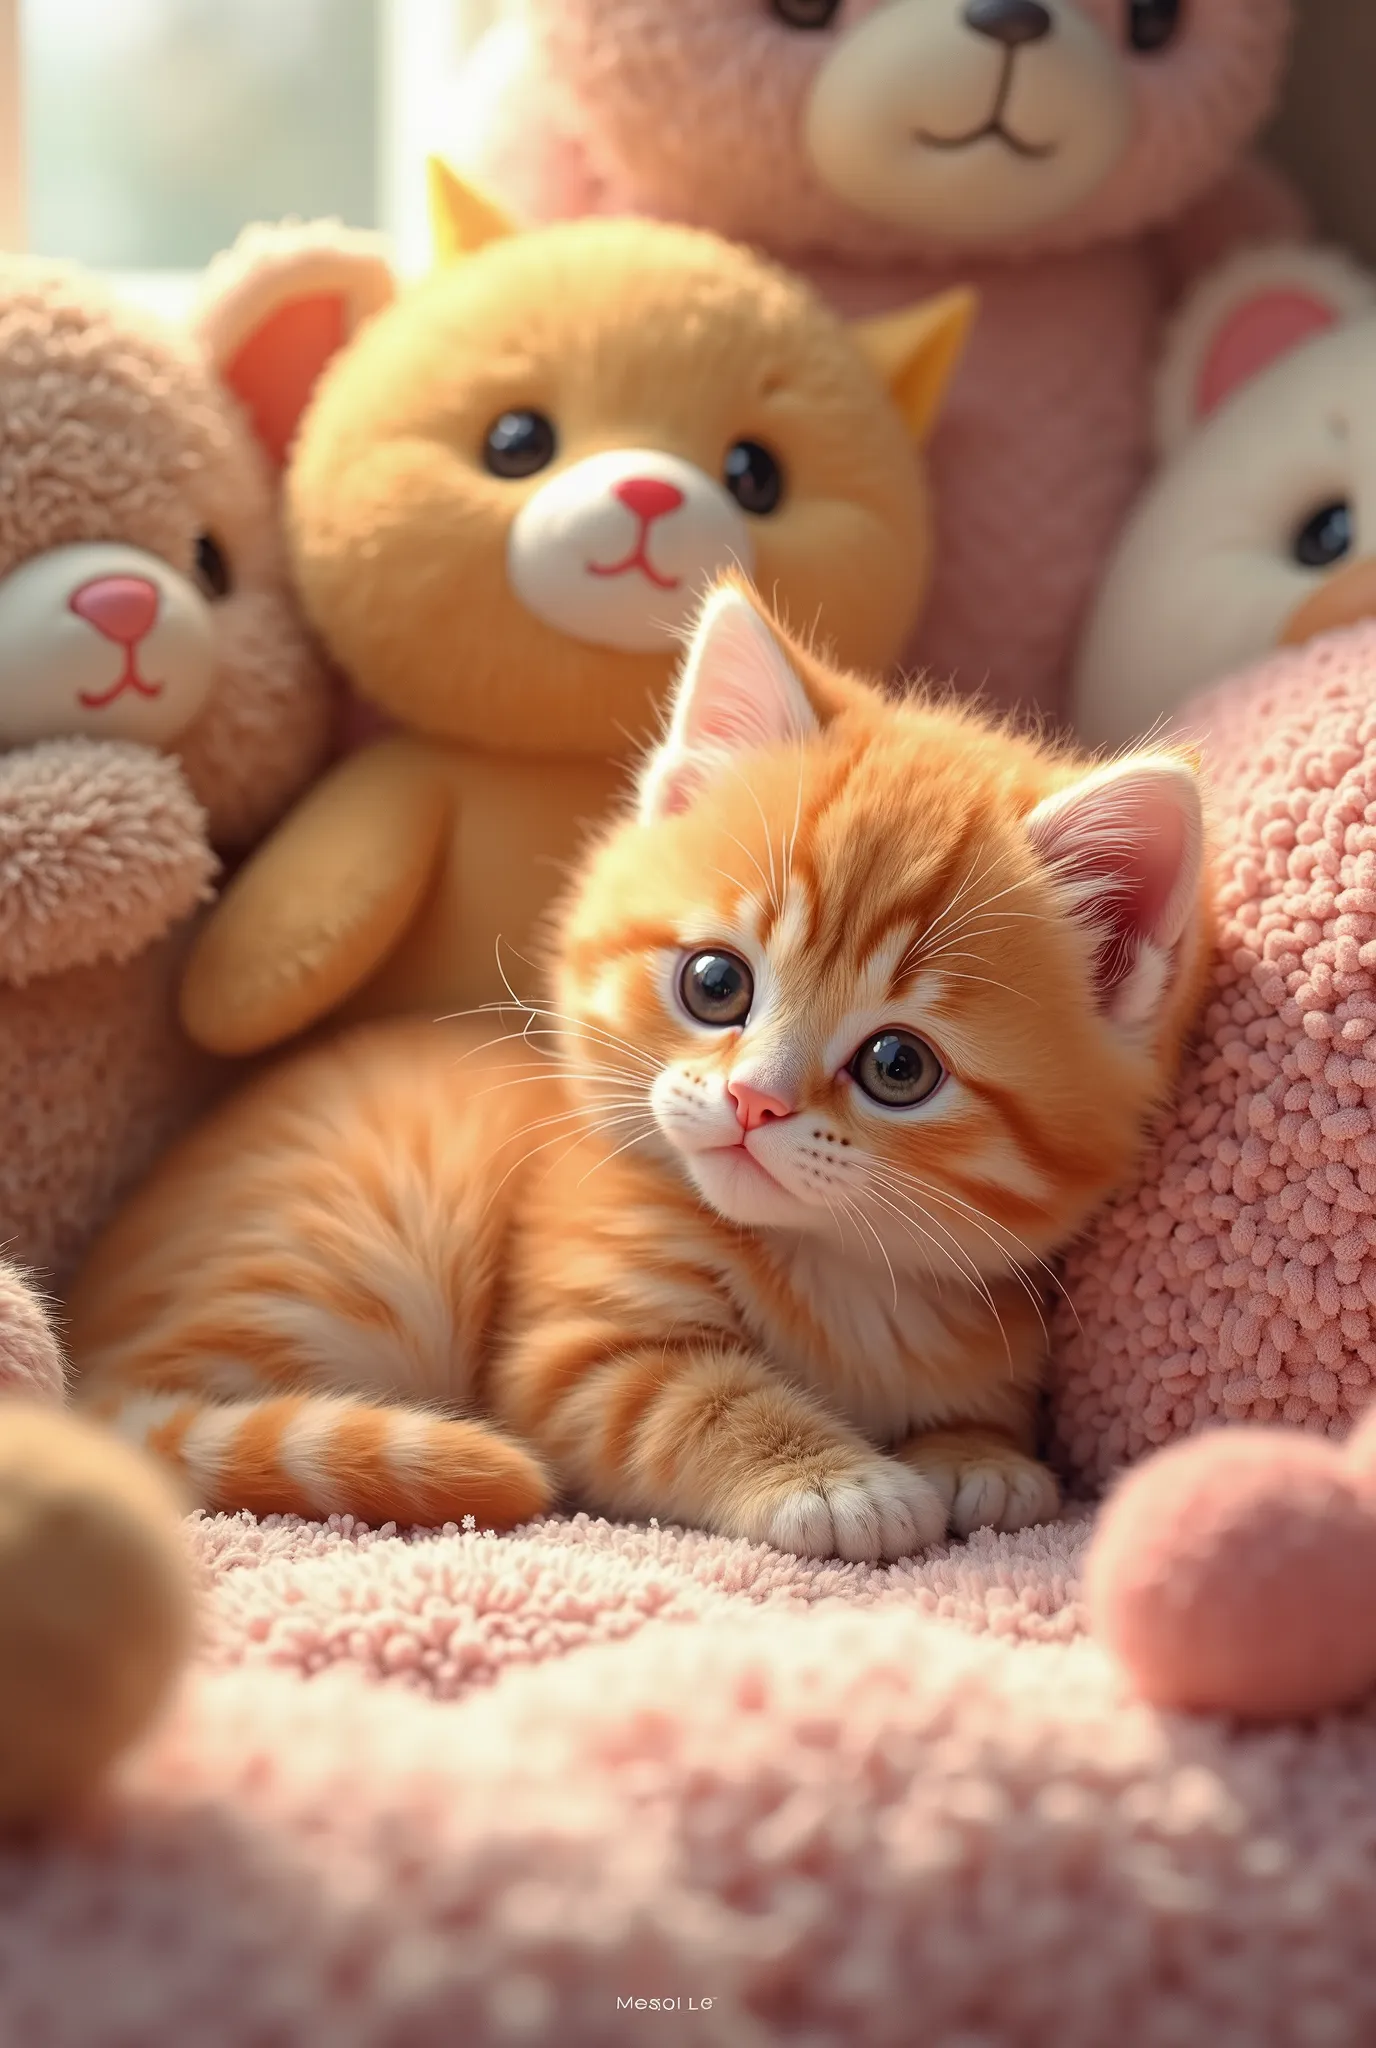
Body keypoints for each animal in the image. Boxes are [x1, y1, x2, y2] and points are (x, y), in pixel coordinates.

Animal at [64, 585, 1212, 1556]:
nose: (754, 1099)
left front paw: (977, 1453)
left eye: (897, 1064)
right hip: (357, 1253)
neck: (834, 1274)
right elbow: (692, 1399)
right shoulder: (573, 1345)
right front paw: (837, 1480)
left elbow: (979, 1407)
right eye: (715, 982)